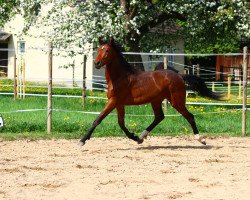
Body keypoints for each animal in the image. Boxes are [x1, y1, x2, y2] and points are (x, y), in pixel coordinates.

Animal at [79, 38, 222, 146]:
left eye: (107, 50)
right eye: (99, 49)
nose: (97, 63)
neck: (120, 77)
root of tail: (179, 76)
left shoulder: (113, 101)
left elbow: (98, 119)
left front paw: (82, 140)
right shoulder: (119, 104)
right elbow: (121, 123)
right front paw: (135, 138)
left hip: (176, 101)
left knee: (189, 116)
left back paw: (201, 139)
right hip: (156, 101)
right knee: (159, 117)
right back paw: (142, 137)